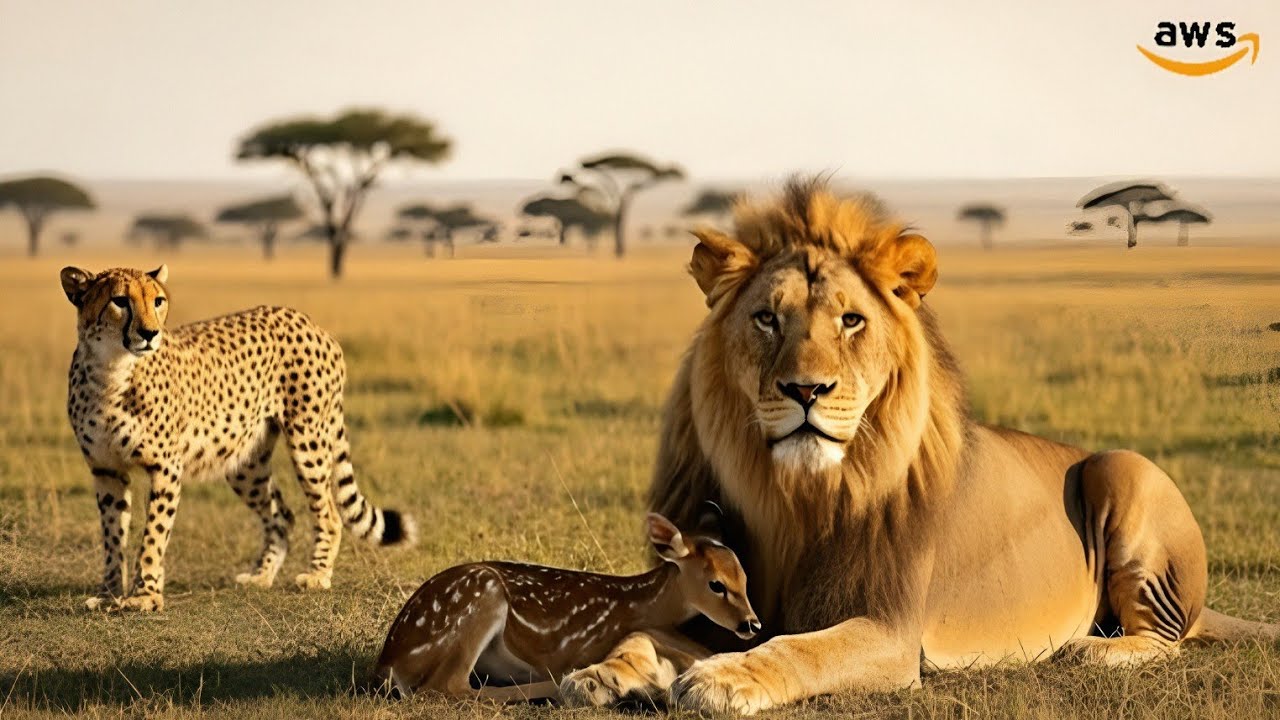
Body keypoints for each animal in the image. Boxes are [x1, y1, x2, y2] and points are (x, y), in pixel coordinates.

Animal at [369, 512, 759, 702]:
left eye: (745, 579)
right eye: (716, 584)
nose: (752, 623)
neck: (634, 602)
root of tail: (388, 661)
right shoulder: (576, 646)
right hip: (483, 595)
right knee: (446, 687)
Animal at [558, 178, 1279, 715]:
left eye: (851, 320)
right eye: (766, 318)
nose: (806, 390)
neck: (796, 495)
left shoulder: (890, 631)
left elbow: (802, 648)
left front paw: (724, 678)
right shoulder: (716, 602)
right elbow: (644, 631)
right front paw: (600, 672)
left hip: (1124, 470)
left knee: (1167, 636)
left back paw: (1092, 649)